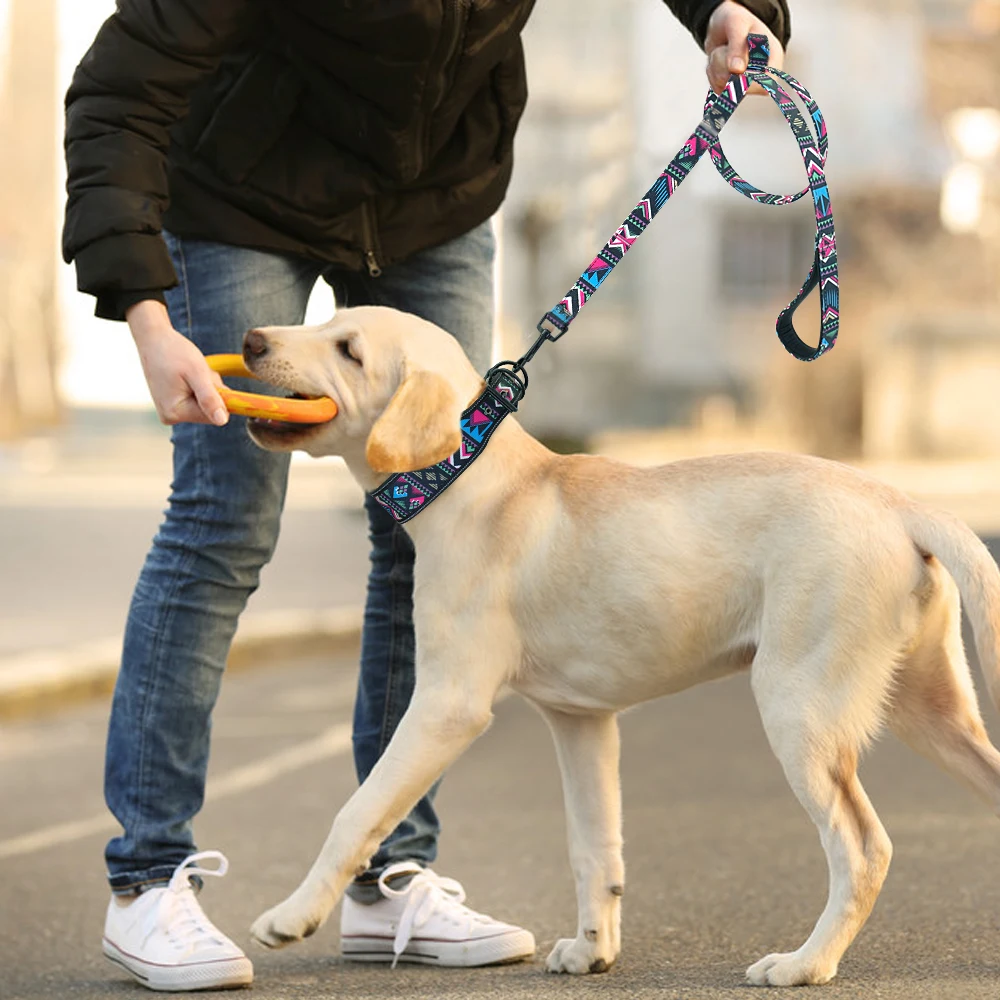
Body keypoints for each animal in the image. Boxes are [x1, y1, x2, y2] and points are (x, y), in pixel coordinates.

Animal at [240, 304, 1000, 984]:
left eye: (349, 350)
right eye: (323, 322)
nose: (250, 341)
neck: (473, 480)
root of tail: (900, 505)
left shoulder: (447, 705)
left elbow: (359, 811)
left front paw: (291, 916)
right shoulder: (581, 721)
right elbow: (595, 847)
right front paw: (593, 950)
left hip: (801, 707)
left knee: (862, 847)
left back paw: (805, 963)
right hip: (929, 710)